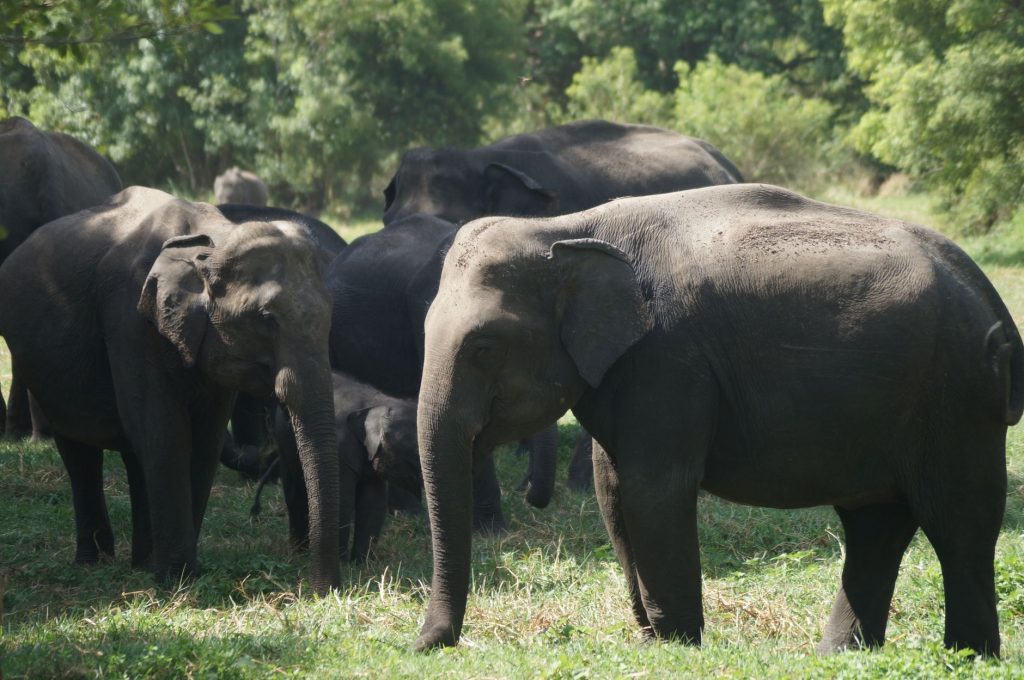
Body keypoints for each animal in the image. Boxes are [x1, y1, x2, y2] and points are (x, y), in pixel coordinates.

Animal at [0, 187, 341, 591]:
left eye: (329, 315)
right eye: (267, 319)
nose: (321, 590)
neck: (213, 237)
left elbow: (205, 438)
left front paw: (178, 574)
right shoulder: (129, 318)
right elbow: (166, 433)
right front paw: (177, 580)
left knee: (132, 454)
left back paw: (141, 562)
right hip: (45, 370)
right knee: (79, 449)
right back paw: (95, 563)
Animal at [273, 371, 421, 563]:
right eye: (417, 452)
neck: (378, 402)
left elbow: (373, 501)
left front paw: (362, 564)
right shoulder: (340, 448)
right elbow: (342, 499)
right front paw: (342, 563)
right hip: (283, 441)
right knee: (295, 492)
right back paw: (300, 552)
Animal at [411, 183, 1019, 657]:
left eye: (484, 348)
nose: (423, 645)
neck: (565, 230)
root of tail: (988, 296)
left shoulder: (667, 357)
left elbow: (654, 489)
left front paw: (677, 644)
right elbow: (613, 490)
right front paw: (652, 638)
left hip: (956, 397)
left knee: (958, 520)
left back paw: (968, 655)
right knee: (877, 522)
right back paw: (839, 655)